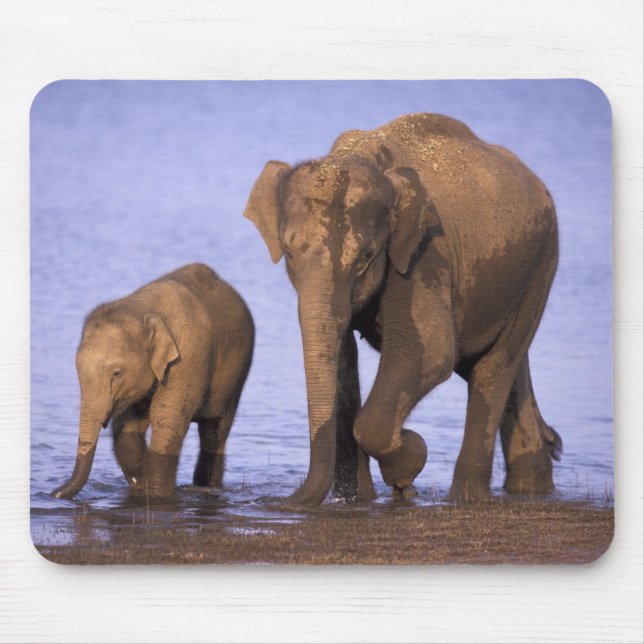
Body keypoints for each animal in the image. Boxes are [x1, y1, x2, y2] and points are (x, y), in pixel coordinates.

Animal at [52, 263, 254, 500]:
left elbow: (166, 418)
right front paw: (142, 484)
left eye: (116, 373)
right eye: (77, 370)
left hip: (237, 374)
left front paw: (158, 495)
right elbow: (129, 426)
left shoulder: (188, 358)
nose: (53, 493)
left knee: (215, 432)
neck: (142, 309)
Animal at [244, 112, 562, 505]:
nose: (277, 502)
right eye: (288, 253)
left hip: (542, 265)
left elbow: (431, 352)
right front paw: (358, 498)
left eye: (365, 258)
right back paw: (532, 486)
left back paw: (466, 498)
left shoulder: (426, 251)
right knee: (503, 365)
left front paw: (407, 464)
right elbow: (343, 361)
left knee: (494, 366)